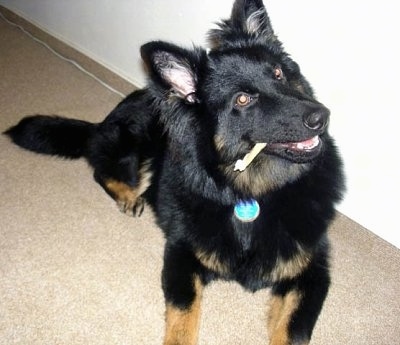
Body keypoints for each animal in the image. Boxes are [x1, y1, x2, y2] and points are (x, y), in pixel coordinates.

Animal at [4, 1, 346, 342]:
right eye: (243, 99)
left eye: (279, 74)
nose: (322, 116)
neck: (252, 192)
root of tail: (104, 121)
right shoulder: (181, 256)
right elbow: (183, 317)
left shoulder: (312, 272)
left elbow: (293, 332)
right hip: (138, 147)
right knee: (101, 169)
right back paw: (128, 196)